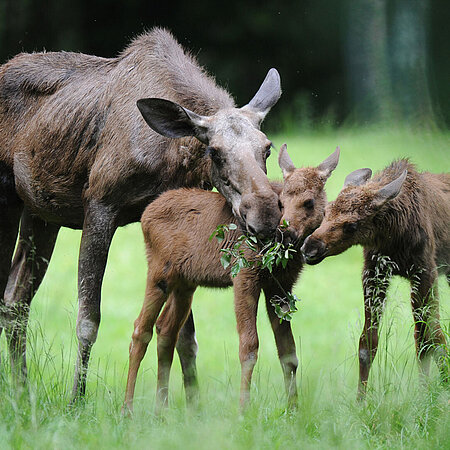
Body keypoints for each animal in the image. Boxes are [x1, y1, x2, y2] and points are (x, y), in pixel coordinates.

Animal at [0, 28, 282, 400]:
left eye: (268, 147)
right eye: (214, 152)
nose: (265, 213)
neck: (172, 155)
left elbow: (185, 336)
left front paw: (193, 404)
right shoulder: (101, 205)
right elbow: (88, 320)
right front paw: (76, 400)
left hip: (41, 213)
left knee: (14, 299)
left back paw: (22, 391)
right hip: (9, 199)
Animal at [123, 146, 342, 414]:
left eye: (309, 202)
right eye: (281, 202)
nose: (285, 232)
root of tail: (145, 216)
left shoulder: (280, 285)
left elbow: (288, 352)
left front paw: (293, 410)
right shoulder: (244, 274)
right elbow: (249, 346)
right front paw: (243, 410)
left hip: (185, 283)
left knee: (165, 330)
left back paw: (161, 410)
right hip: (159, 271)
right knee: (140, 330)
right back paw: (127, 410)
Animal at [300, 160, 448, 400]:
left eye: (351, 226)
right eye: (326, 211)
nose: (310, 248)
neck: (393, 237)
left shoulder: (425, 272)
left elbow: (430, 338)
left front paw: (434, 392)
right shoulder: (374, 273)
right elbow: (367, 343)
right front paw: (361, 400)